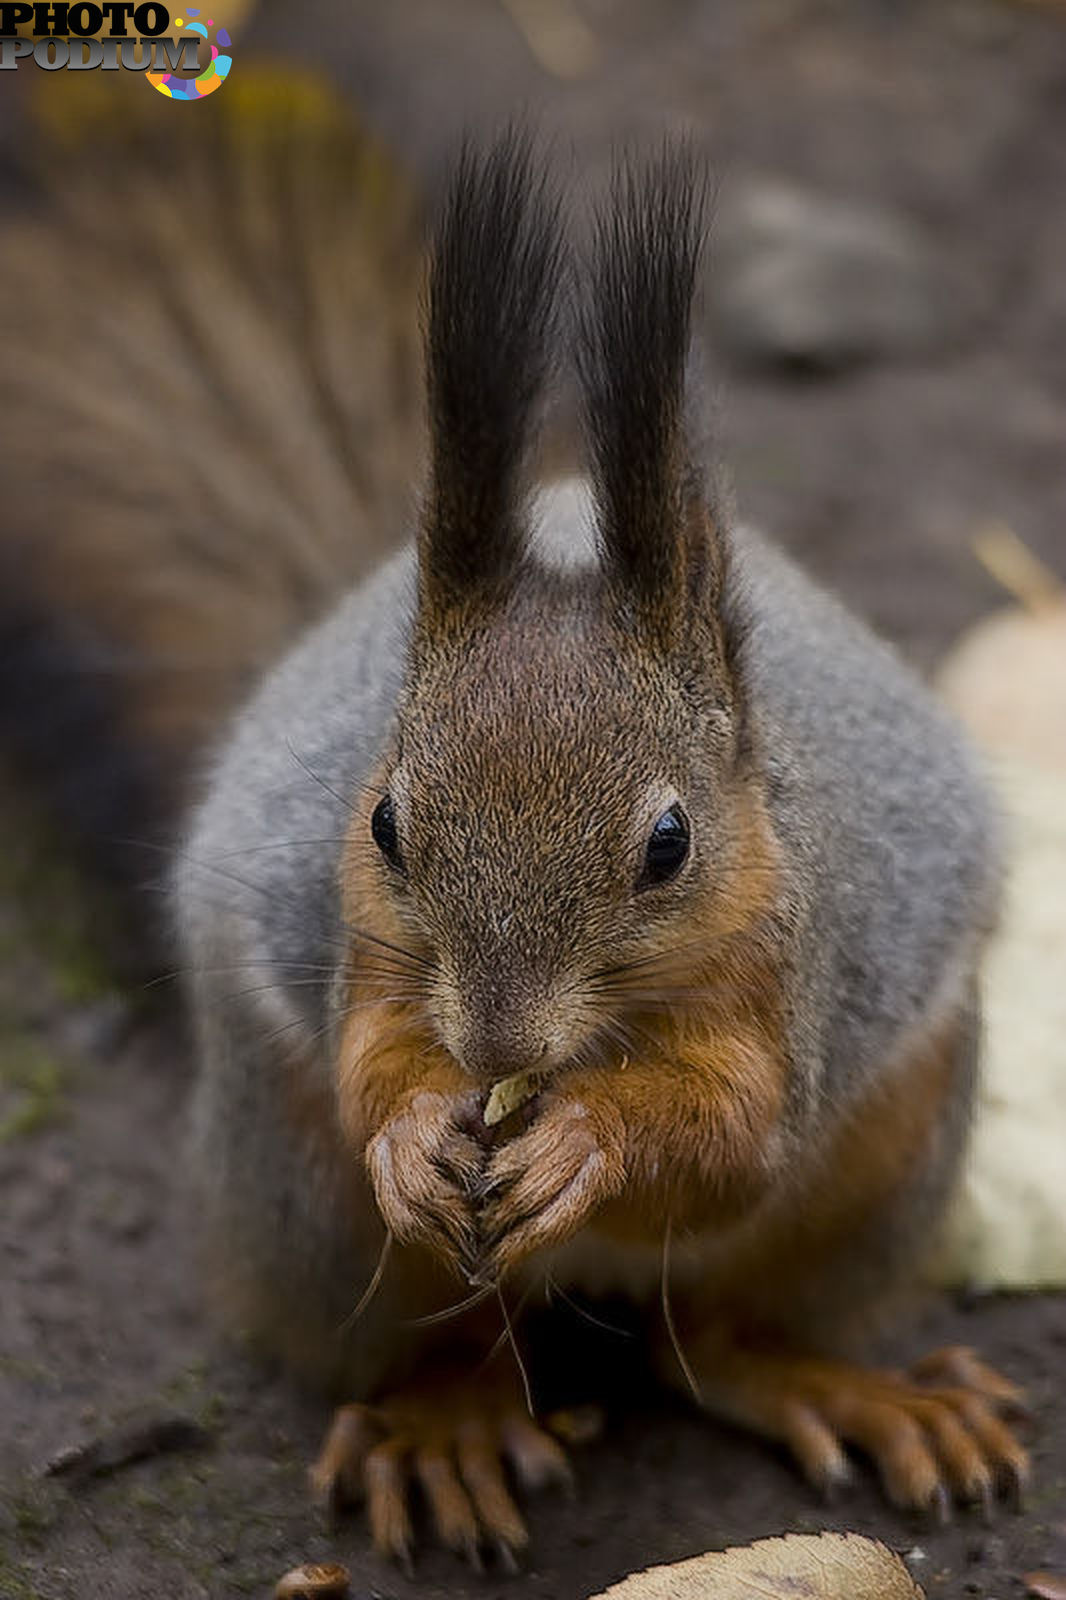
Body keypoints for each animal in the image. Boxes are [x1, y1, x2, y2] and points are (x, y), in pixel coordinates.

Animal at [2, 93, 1030, 1568]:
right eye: (383, 819)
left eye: (668, 844)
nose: (491, 1046)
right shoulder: (372, 952)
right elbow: (370, 1059)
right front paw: (408, 1131)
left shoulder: (786, 982)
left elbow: (732, 1135)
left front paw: (589, 1139)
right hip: (298, 1192)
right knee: (448, 1342)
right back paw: (447, 1425)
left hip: (884, 1161)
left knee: (718, 1340)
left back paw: (851, 1389)